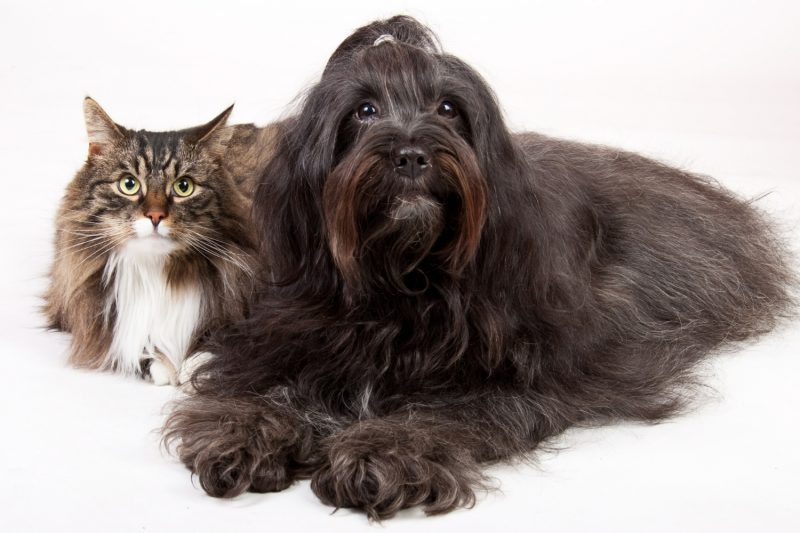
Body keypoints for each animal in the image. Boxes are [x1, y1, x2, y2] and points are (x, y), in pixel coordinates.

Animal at [43, 97, 276, 384]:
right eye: (129, 184)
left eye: (184, 187)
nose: (155, 216)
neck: (156, 272)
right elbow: (134, 349)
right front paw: (162, 365)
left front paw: (197, 366)